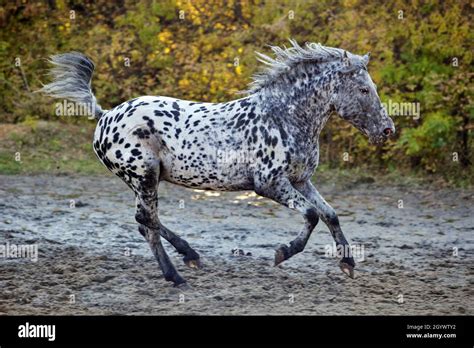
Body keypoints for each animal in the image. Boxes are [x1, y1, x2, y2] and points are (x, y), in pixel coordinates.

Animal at [41, 40, 396, 286]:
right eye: (364, 89)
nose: (387, 129)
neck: (284, 116)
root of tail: (105, 116)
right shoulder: (269, 183)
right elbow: (311, 215)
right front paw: (282, 253)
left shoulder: (300, 180)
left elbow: (330, 214)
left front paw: (348, 264)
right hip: (144, 176)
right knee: (147, 221)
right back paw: (180, 272)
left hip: (142, 181)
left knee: (146, 223)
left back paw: (186, 262)